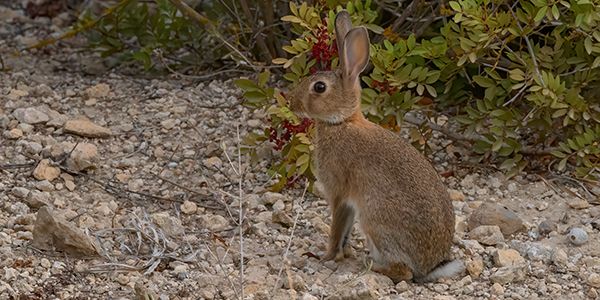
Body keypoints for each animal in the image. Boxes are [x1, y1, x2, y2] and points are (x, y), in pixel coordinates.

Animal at [286, 10, 464, 282]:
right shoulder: (349, 203)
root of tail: (431, 267)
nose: (292, 103)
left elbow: (336, 228)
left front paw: (325, 256)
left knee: (404, 272)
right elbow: (345, 232)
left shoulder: (339, 193)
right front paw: (343, 254)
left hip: (374, 220)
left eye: (319, 87)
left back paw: (372, 266)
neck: (342, 121)